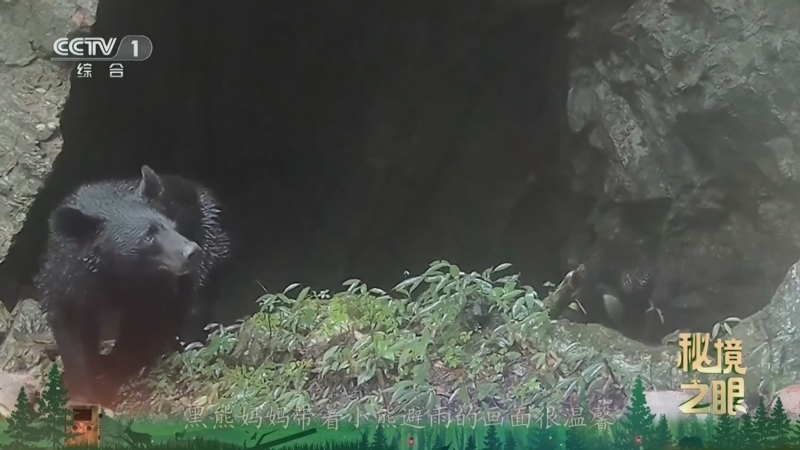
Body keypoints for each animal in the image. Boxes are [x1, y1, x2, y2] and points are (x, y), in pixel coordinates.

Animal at [34, 166, 230, 405]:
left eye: (173, 225)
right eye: (148, 237)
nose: (191, 252)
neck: (115, 272)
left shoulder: (154, 285)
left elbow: (146, 317)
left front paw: (119, 365)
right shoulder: (67, 279)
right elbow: (70, 329)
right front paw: (83, 390)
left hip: (210, 233)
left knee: (198, 296)